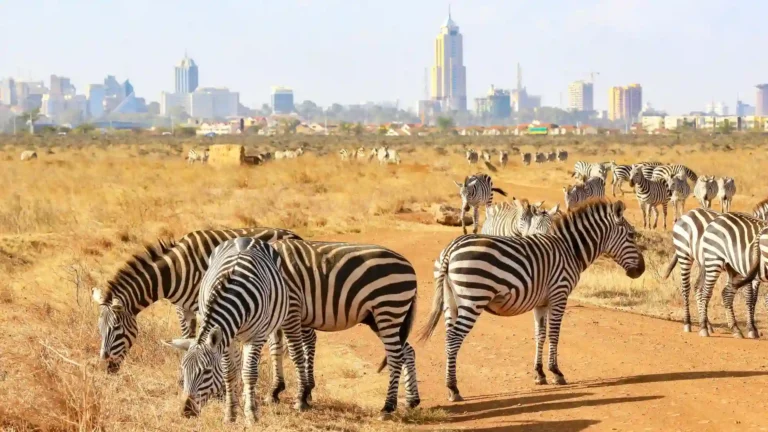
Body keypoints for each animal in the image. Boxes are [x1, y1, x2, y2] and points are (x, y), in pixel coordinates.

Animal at [91, 227, 301, 374]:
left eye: (116, 328)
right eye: (100, 329)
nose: (106, 367)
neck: (174, 272)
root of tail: (294, 235)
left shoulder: (202, 306)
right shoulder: (183, 308)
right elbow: (187, 337)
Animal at [163, 238, 302, 424]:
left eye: (206, 371)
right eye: (183, 370)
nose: (186, 412)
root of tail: (246, 238)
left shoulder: (256, 336)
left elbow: (249, 373)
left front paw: (251, 414)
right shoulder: (226, 338)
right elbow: (229, 373)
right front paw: (230, 413)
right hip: (234, 338)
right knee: (237, 366)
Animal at [265, 240, 420, 419]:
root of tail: (409, 265)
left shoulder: (292, 309)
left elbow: (295, 354)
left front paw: (300, 398)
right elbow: (275, 350)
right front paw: (274, 391)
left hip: (388, 309)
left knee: (395, 356)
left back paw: (387, 407)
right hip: (380, 318)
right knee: (407, 351)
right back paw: (412, 400)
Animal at [419, 199, 644, 401]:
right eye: (631, 235)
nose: (641, 271)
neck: (570, 249)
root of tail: (451, 248)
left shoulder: (541, 302)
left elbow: (540, 335)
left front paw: (539, 374)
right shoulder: (559, 295)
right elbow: (554, 335)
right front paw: (556, 373)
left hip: (450, 302)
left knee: (448, 337)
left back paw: (450, 386)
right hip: (473, 298)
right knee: (454, 338)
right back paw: (453, 389)